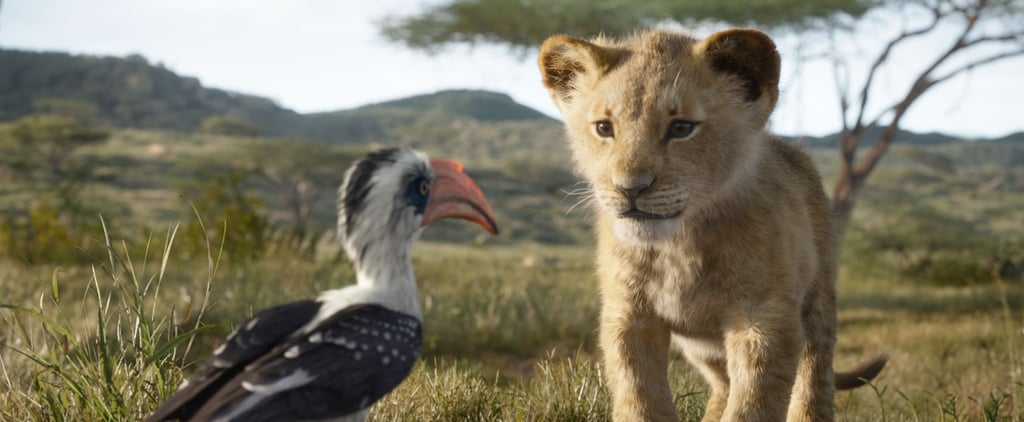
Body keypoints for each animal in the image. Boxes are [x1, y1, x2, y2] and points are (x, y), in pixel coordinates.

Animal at [538, 28, 887, 421]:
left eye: (681, 128)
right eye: (603, 128)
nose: (630, 188)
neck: (678, 245)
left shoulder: (764, 317)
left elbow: (753, 404)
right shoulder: (628, 314)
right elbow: (639, 397)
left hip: (818, 301)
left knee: (815, 376)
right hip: (701, 345)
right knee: (723, 383)